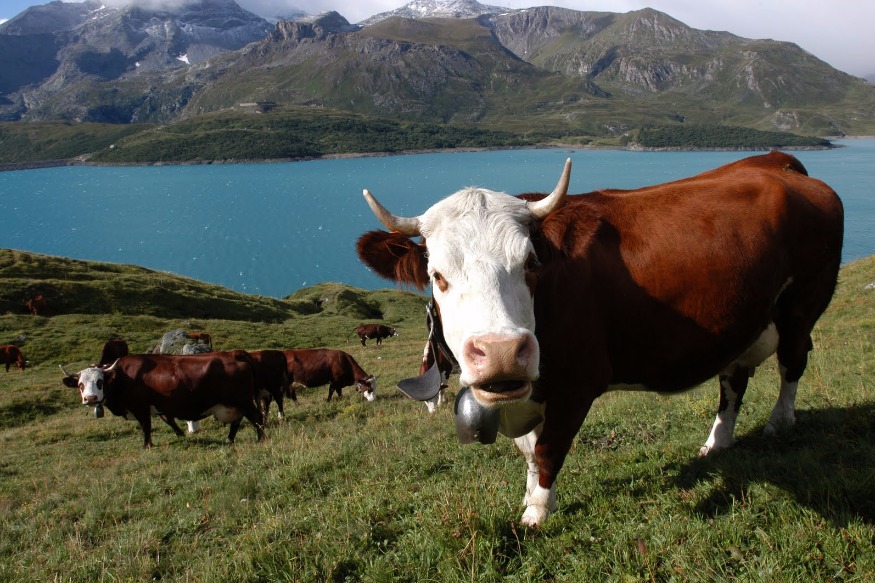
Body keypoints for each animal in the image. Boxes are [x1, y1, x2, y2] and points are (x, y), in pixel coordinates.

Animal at [61, 350, 265, 448]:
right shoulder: (160, 406)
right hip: (233, 404)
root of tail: (234, 353)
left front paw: (147, 445)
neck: (122, 376)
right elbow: (168, 420)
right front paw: (181, 435)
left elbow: (146, 426)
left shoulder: (140, 407)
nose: (90, 398)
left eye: (100, 381)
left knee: (257, 417)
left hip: (243, 400)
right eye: (80, 384)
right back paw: (230, 439)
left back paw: (261, 439)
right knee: (238, 420)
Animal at [356, 151, 844, 526]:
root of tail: (778, 165)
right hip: (742, 322)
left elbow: (548, 450)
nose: (501, 353)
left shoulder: (578, 383)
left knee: (792, 363)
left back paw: (779, 422)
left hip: (802, 306)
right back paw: (716, 443)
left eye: (530, 263)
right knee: (734, 380)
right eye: (437, 275)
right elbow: (528, 451)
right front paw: (530, 495)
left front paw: (536, 514)